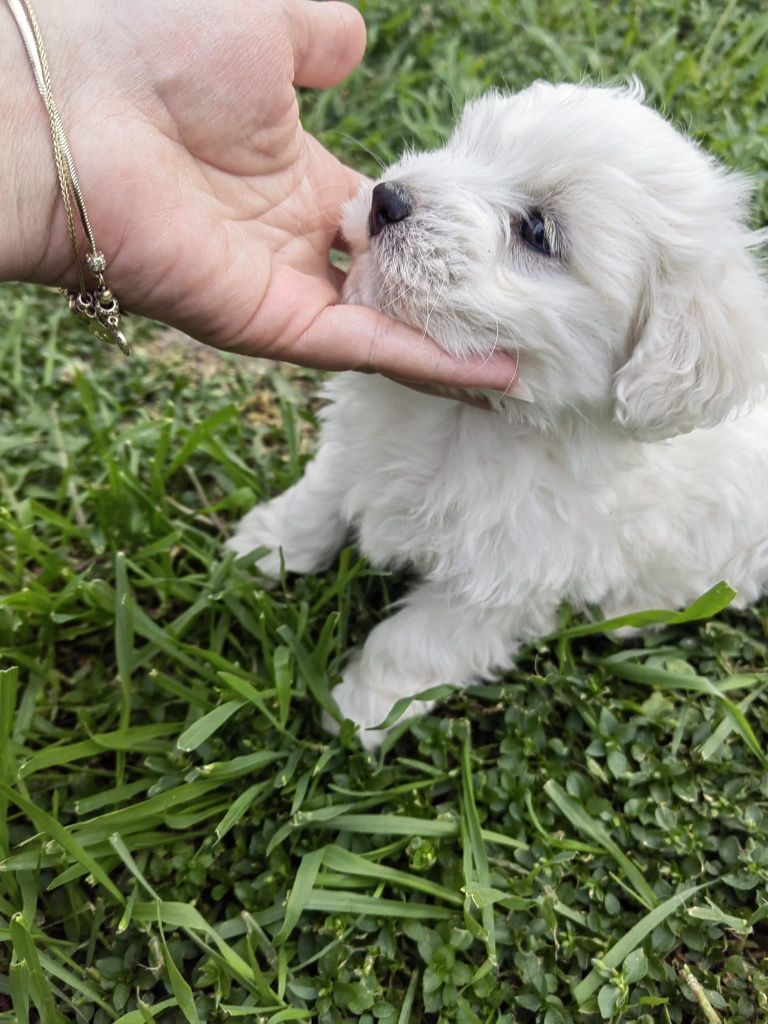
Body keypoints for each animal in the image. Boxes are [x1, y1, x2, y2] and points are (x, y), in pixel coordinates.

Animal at [228, 83, 768, 749]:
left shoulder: (495, 586)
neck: (466, 420)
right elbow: (318, 499)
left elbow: (412, 645)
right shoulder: (354, 448)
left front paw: (361, 712)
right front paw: (264, 545)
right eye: (467, 147)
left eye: (537, 231)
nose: (388, 199)